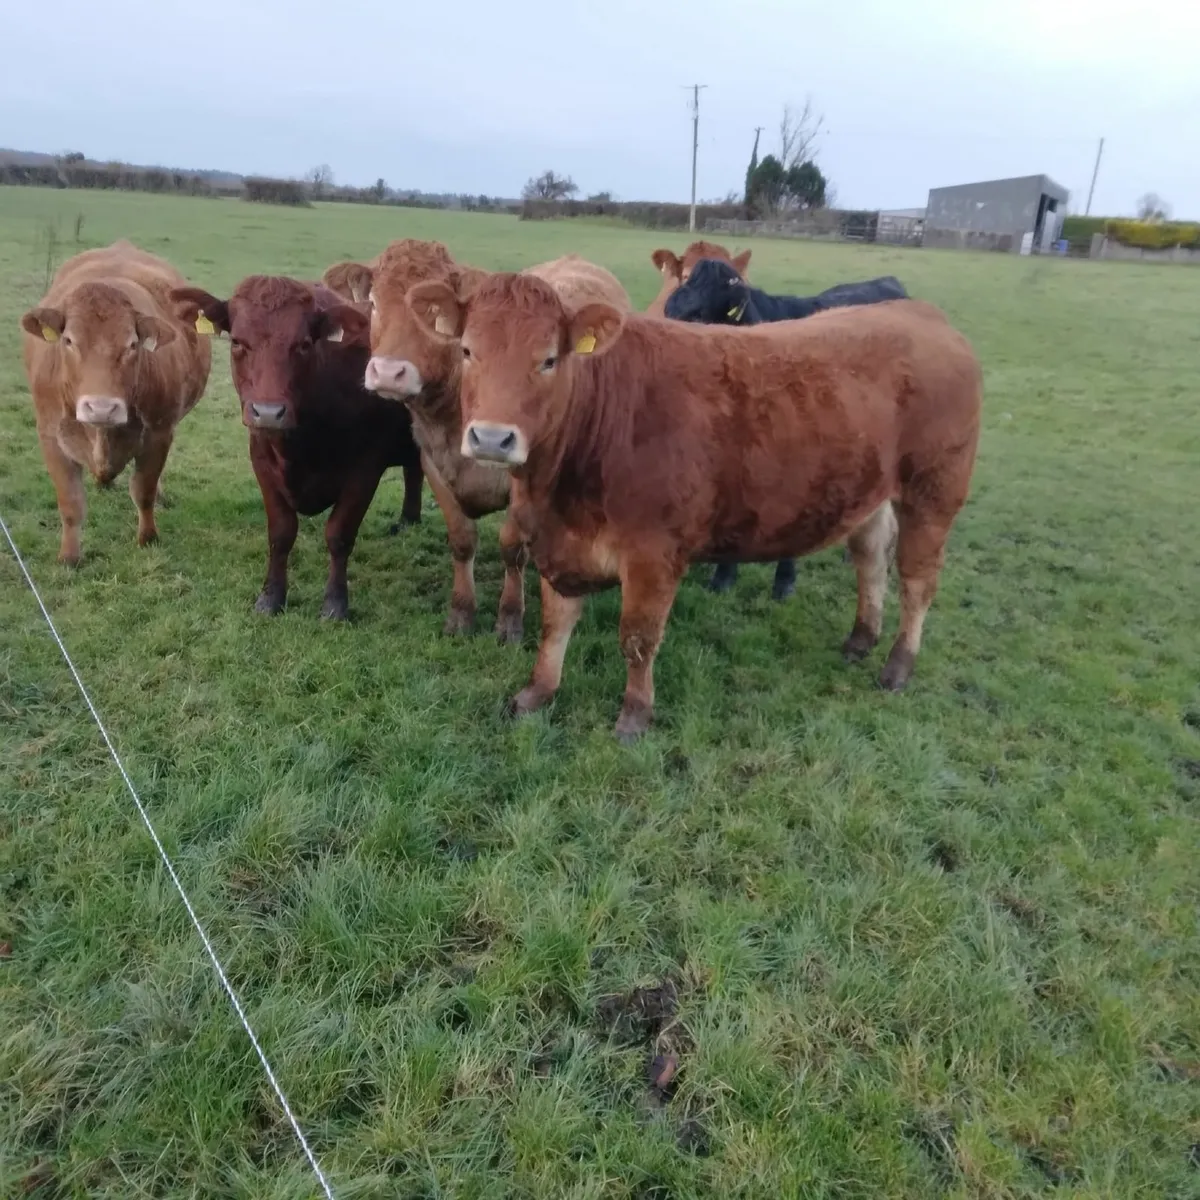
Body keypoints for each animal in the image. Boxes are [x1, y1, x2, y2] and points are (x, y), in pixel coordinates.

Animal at [19, 241, 212, 566]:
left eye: (132, 344)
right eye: (68, 341)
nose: (101, 408)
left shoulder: (159, 433)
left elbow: (144, 491)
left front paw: (148, 538)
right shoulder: (50, 435)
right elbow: (70, 502)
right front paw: (69, 556)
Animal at [169, 275, 423, 620]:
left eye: (303, 344)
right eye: (237, 342)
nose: (267, 412)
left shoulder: (365, 470)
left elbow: (339, 535)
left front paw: (335, 604)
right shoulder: (262, 460)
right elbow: (281, 533)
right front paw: (271, 597)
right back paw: (409, 520)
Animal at [359, 240, 631, 644]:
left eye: (433, 317)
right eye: (374, 303)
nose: (389, 372)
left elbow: (511, 549)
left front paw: (510, 620)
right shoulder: (434, 466)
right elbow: (461, 541)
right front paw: (461, 614)